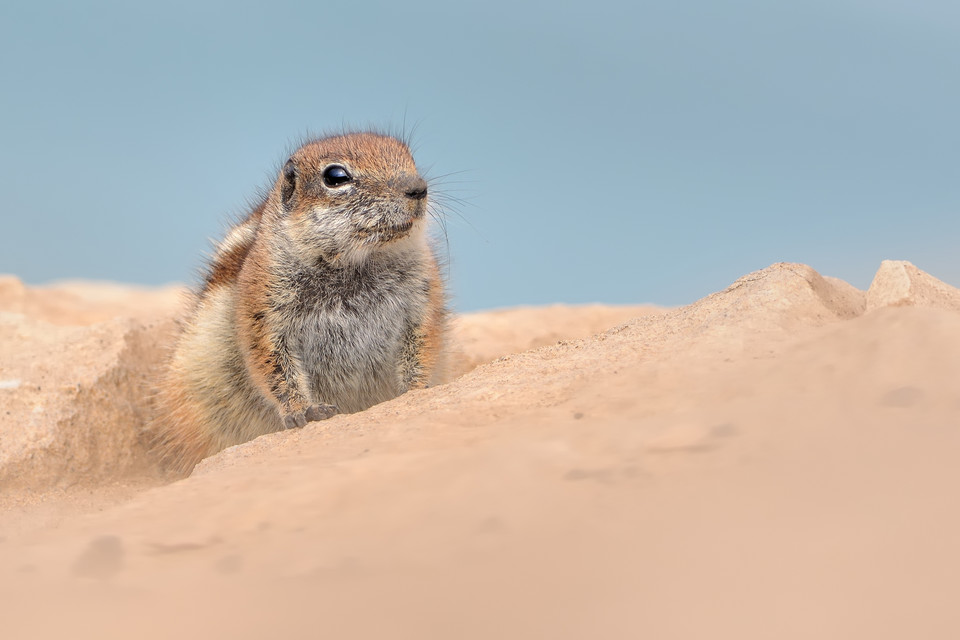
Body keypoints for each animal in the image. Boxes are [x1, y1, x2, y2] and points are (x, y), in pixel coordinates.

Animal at [152, 134, 448, 476]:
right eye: (336, 176)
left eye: (409, 157)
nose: (418, 188)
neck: (355, 265)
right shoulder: (263, 310)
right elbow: (274, 368)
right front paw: (303, 410)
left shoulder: (422, 299)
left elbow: (422, 345)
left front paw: (416, 389)